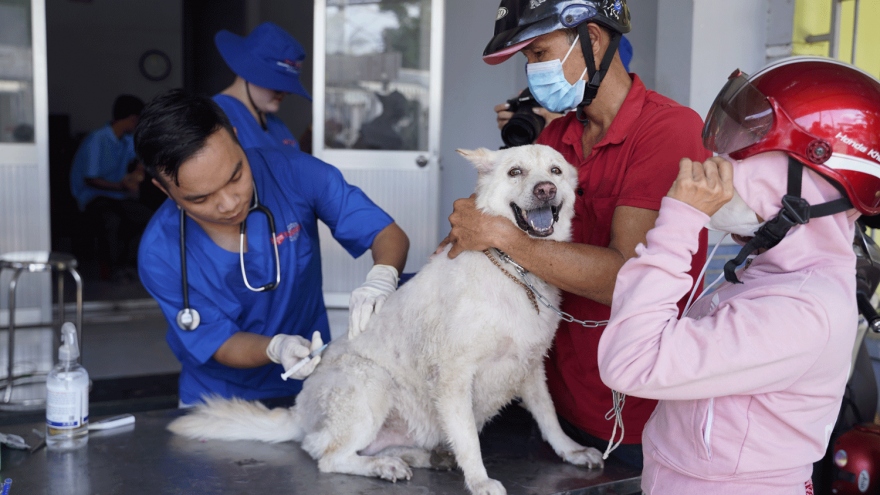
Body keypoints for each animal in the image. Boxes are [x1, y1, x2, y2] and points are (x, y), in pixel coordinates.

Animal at [167, 144, 604, 495]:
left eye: (555, 171)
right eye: (515, 172)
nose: (545, 190)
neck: (516, 271)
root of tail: (299, 413)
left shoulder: (530, 368)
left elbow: (549, 419)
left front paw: (571, 451)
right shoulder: (454, 379)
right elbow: (469, 441)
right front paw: (480, 481)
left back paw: (419, 458)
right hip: (371, 386)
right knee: (325, 454)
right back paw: (382, 466)